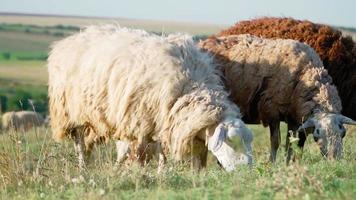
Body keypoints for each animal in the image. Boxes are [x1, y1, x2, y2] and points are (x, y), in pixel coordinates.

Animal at [47, 25, 253, 171]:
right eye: (231, 140)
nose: (247, 171)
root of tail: (72, 38)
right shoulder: (138, 122)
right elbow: (134, 152)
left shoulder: (163, 120)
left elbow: (162, 153)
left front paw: (162, 173)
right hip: (71, 113)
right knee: (80, 144)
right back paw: (83, 168)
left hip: (96, 116)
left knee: (88, 143)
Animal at [199, 34, 356, 162]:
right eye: (317, 134)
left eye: (343, 133)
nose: (335, 160)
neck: (304, 77)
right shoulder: (271, 110)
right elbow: (276, 142)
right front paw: (272, 163)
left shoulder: (294, 118)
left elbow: (291, 143)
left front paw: (288, 164)